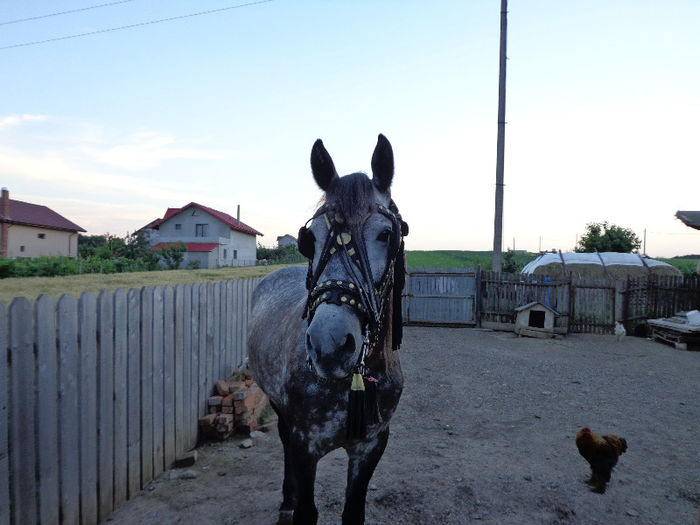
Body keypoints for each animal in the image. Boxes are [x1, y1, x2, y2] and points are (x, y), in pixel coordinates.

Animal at [247, 135, 408, 524]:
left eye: (386, 235)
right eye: (311, 238)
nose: (329, 344)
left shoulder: (371, 446)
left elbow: (353, 513)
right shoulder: (306, 444)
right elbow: (307, 509)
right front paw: (294, 502)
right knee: (283, 439)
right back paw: (287, 499)